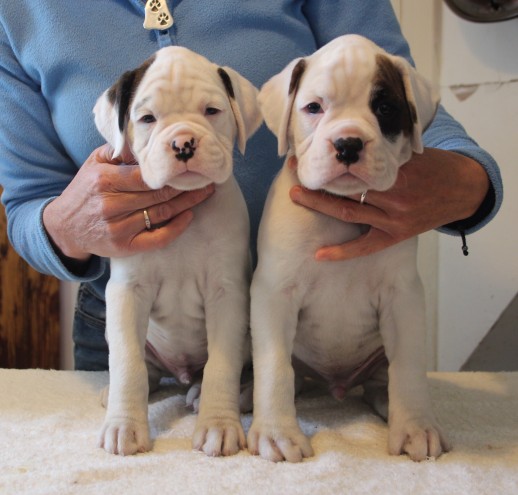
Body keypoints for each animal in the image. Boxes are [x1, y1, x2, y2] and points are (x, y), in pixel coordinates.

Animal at [93, 46, 262, 458]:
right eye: (147, 119)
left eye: (212, 111)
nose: (183, 143)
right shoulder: (127, 293)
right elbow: (127, 363)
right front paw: (124, 425)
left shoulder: (227, 293)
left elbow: (222, 364)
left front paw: (219, 425)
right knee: (145, 366)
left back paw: (225, 395)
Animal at [248, 35, 450, 464]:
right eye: (314, 108)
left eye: (385, 108)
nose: (347, 144)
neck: (340, 208)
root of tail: (335, 384)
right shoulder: (274, 294)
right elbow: (274, 366)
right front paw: (276, 433)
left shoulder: (403, 297)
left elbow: (409, 366)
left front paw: (416, 427)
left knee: (383, 378)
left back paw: (387, 403)